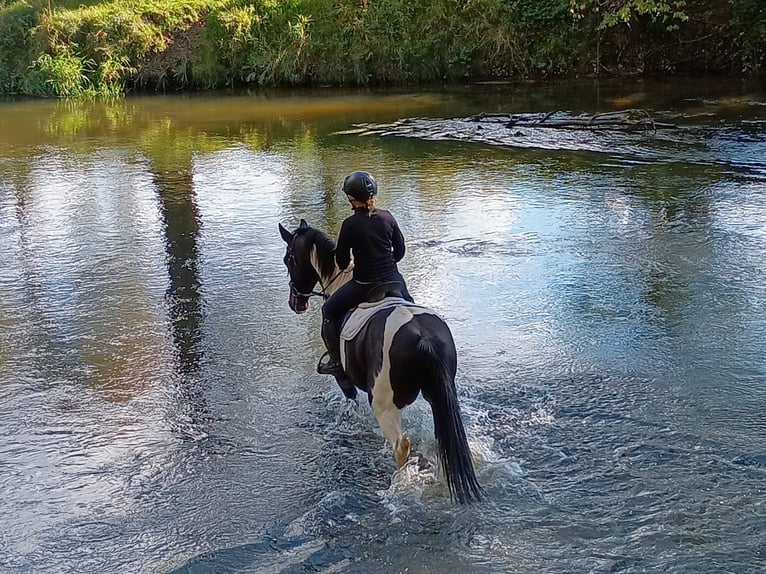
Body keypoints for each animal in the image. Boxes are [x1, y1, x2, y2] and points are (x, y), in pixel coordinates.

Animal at [278, 219, 481, 504]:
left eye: (289, 259)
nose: (295, 302)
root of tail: (424, 336)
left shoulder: (343, 379)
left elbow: (351, 404)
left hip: (383, 405)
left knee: (401, 446)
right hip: (439, 394)